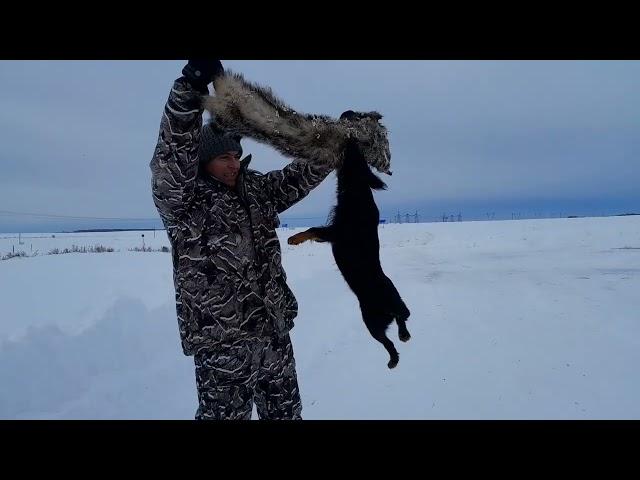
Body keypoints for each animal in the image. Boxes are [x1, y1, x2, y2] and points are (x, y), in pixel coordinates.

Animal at [288, 113, 410, 368]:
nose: (348, 111)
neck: (358, 193)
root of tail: (388, 308)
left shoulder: (336, 232)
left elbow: (312, 229)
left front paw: (293, 238)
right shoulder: (333, 233)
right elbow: (315, 231)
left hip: (376, 315)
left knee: (399, 324)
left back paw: (396, 352)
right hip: (377, 319)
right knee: (395, 331)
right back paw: (399, 345)